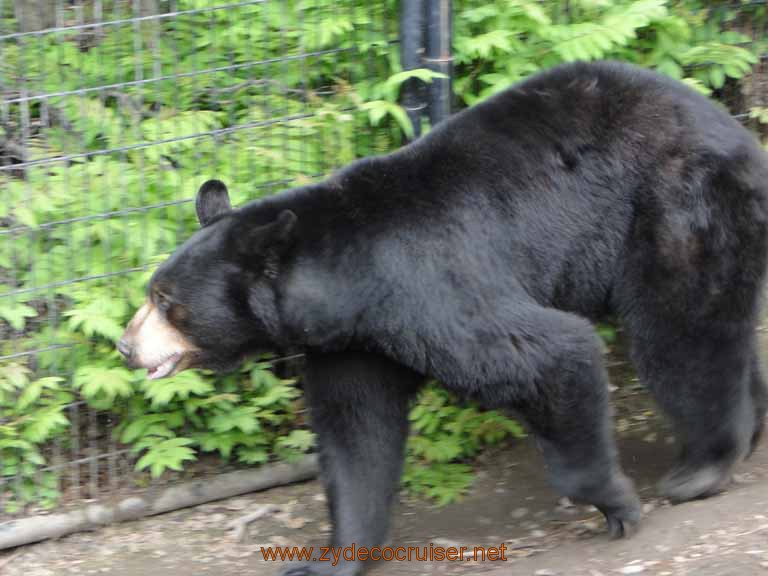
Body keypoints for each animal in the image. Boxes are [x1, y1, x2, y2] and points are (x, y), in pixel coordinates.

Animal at [118, 60, 768, 572]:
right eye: (151, 292)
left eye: (169, 304)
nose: (127, 346)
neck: (346, 287)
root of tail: (736, 131)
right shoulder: (353, 344)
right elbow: (357, 436)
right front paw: (328, 559)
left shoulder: (430, 292)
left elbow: (552, 352)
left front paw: (617, 504)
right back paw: (751, 428)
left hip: (674, 205)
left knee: (679, 333)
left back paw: (703, 465)